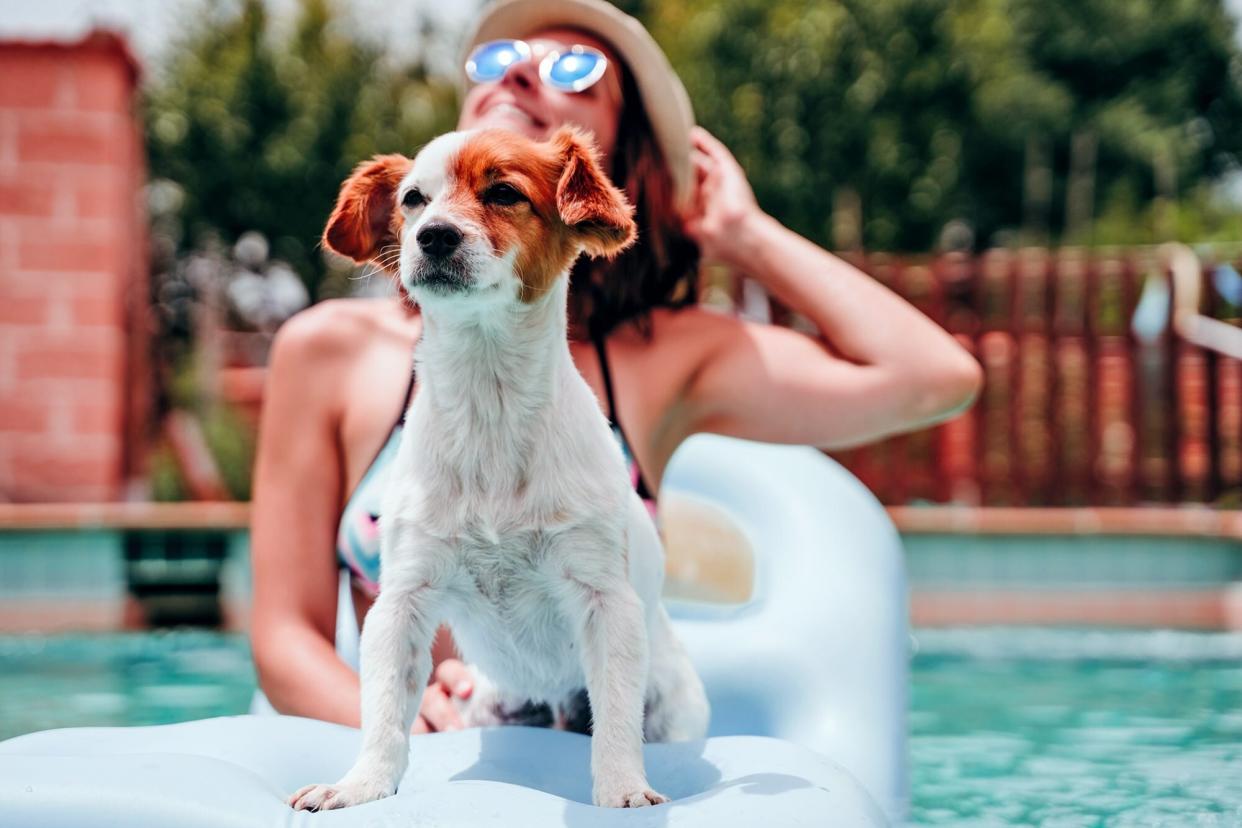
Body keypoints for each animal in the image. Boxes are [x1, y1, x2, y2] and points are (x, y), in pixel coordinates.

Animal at [284, 126, 705, 814]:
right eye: (413, 200)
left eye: (504, 192)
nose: (434, 235)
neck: (490, 403)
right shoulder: (402, 600)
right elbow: (383, 713)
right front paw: (361, 786)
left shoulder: (605, 601)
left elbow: (617, 719)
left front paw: (622, 789)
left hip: (673, 705)